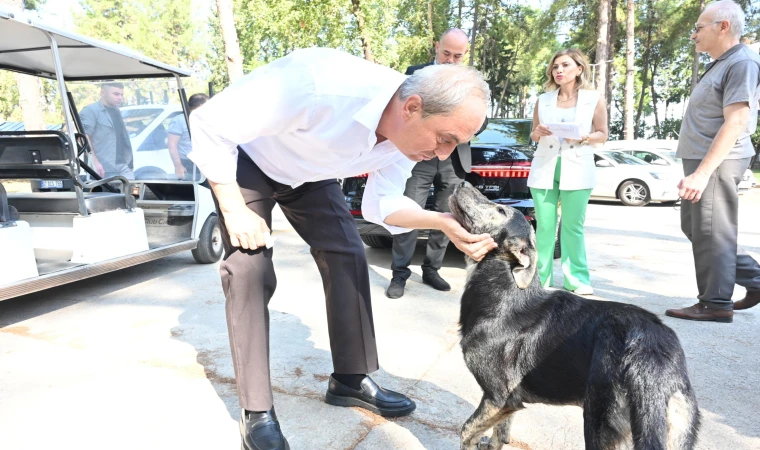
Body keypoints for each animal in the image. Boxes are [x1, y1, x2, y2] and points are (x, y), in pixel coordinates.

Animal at [448, 183, 704, 450]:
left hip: (599, 420)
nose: (463, 183)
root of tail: (651, 354)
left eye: (500, 210)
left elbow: (466, 431)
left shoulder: (498, 397)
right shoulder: (508, 405)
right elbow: (500, 434)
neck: (504, 290)